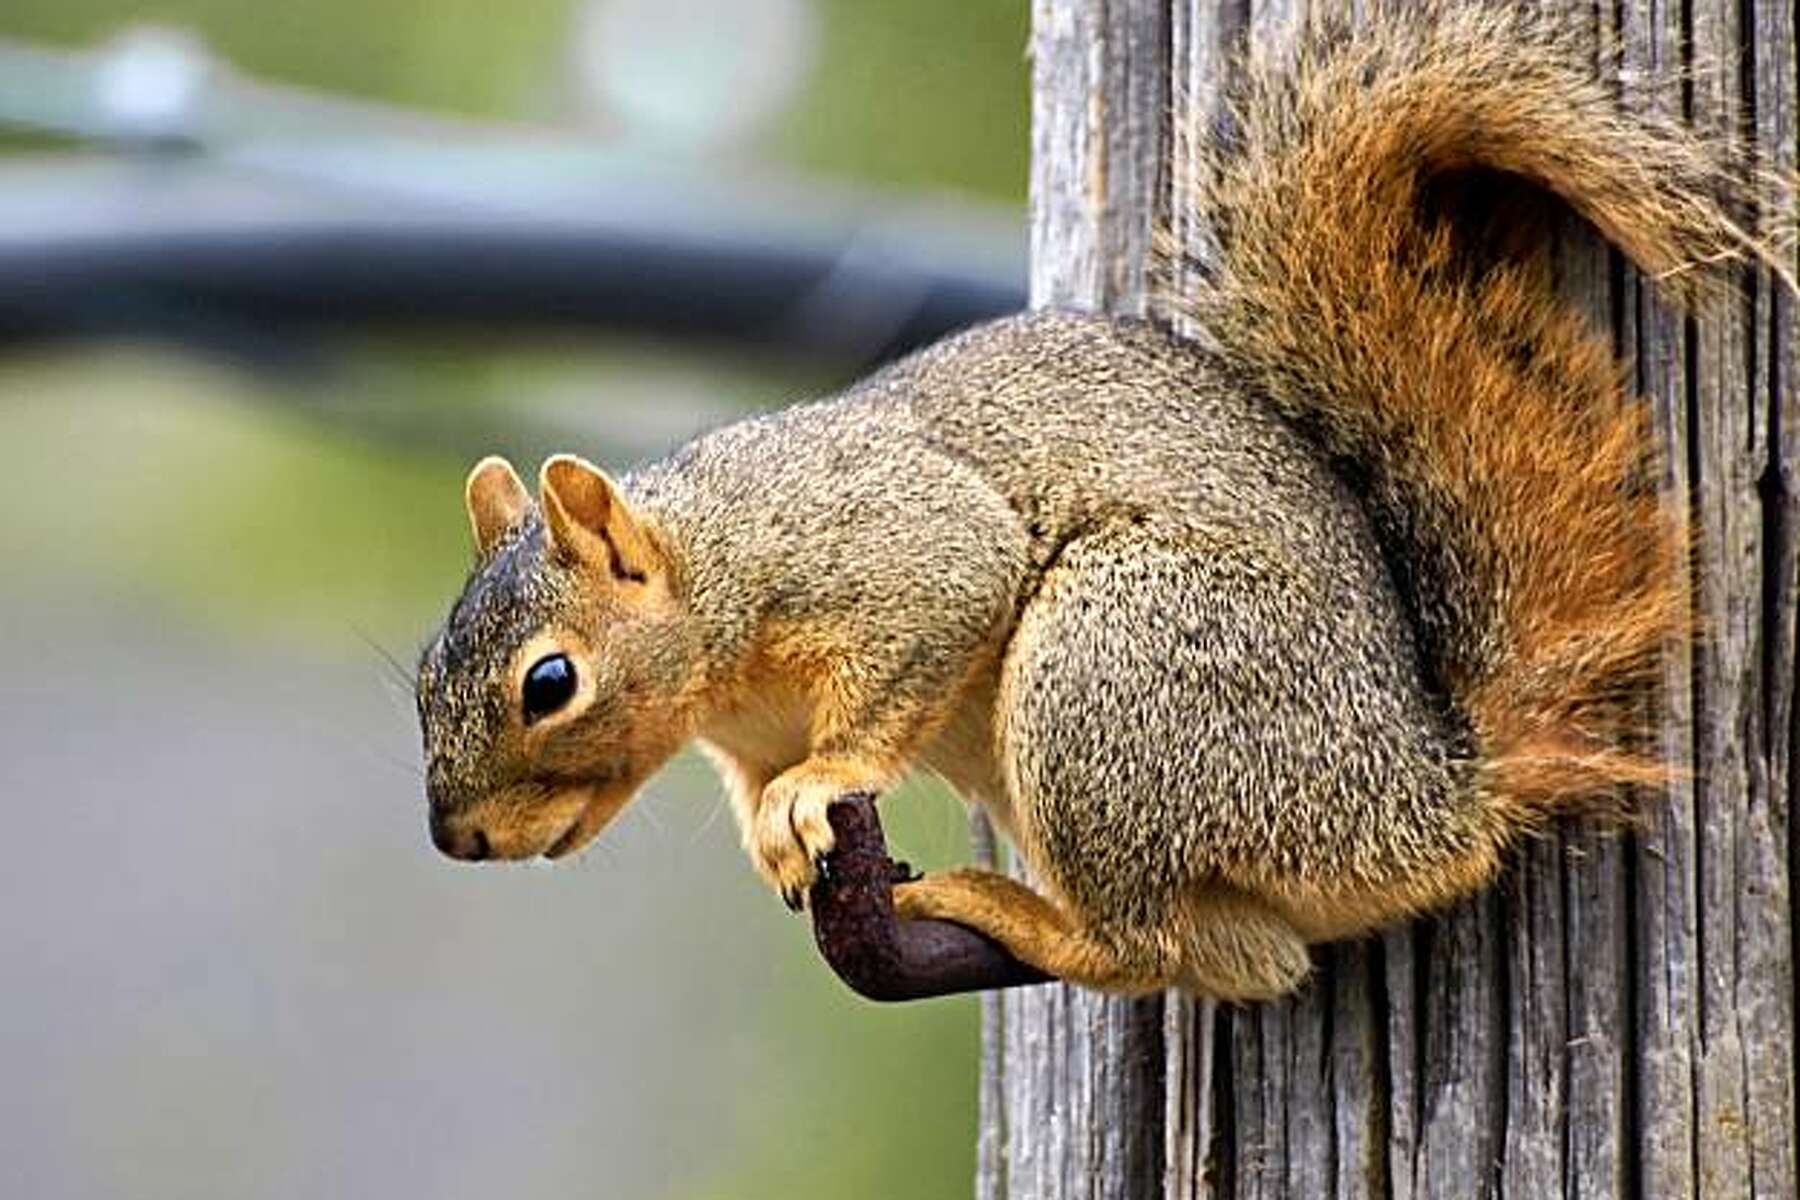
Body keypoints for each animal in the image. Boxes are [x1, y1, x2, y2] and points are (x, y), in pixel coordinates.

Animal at [414, 3, 1795, 1001]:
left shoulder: (895, 545)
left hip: (1114, 662)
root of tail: (1426, 804)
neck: (717, 569)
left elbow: (928, 615)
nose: (457, 841)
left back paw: (1006, 910)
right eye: (427, 671)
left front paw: (822, 784)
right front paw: (770, 826)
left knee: (1142, 947)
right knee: (1242, 961)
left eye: (550, 683)